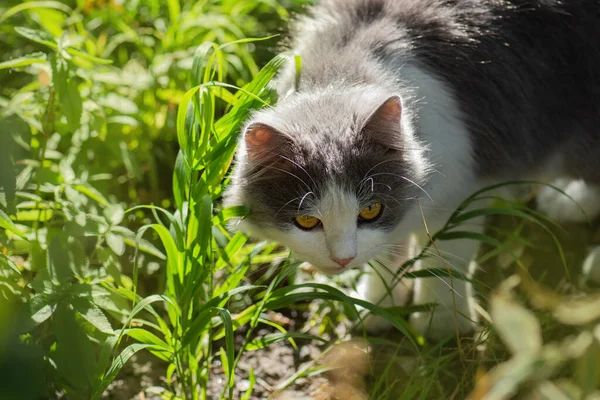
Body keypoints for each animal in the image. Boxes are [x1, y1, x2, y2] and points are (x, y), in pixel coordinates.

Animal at [224, 0, 600, 340]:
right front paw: (377, 309)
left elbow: (443, 262)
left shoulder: (461, 191)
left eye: (370, 210)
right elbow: (388, 253)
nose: (344, 260)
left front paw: (440, 325)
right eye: (306, 221)